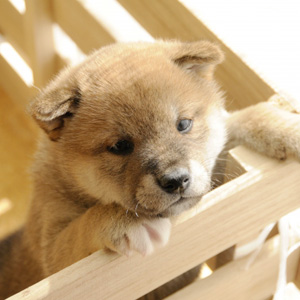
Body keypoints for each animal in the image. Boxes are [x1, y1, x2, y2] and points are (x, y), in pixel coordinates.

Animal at [0, 40, 300, 300]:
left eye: (183, 124)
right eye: (120, 146)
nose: (176, 180)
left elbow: (235, 123)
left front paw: (280, 125)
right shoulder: (52, 251)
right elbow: (85, 225)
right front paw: (129, 220)